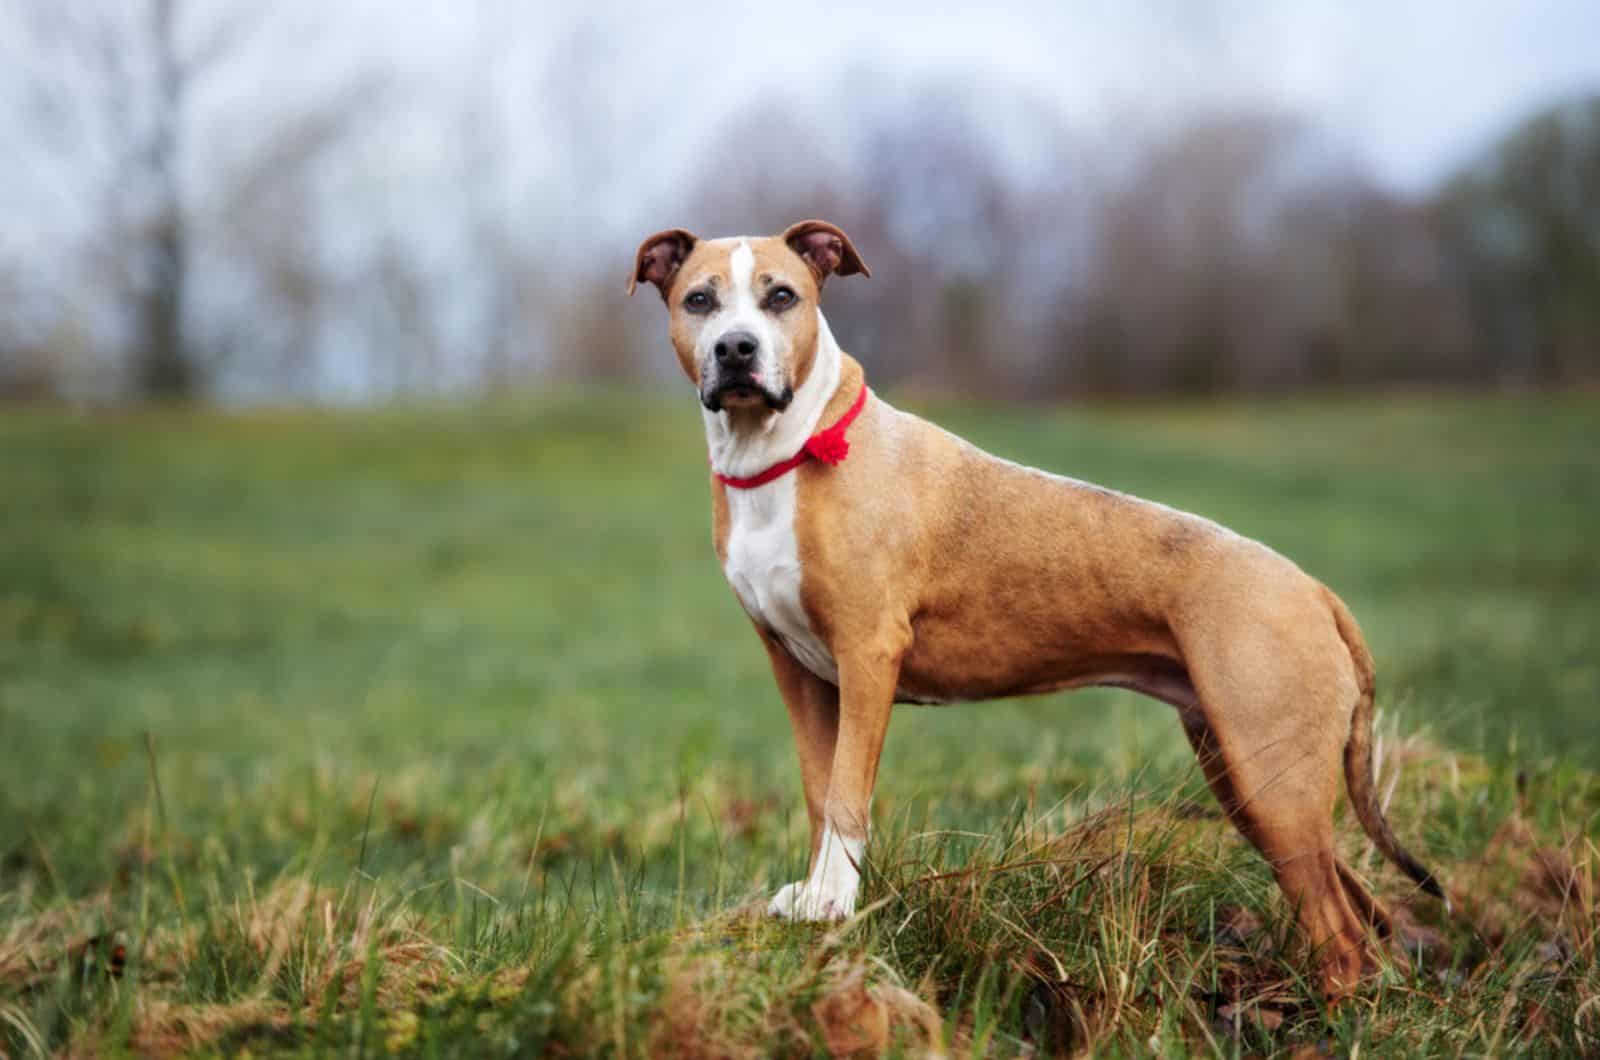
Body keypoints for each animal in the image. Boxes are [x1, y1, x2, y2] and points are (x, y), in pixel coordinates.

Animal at [627, 217, 1452, 999]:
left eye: (781, 297)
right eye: (699, 300)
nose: (737, 349)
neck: (791, 452)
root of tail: (1312, 589)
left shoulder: (867, 658)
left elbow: (846, 797)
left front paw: (834, 905)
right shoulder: (800, 673)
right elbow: (816, 792)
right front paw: (813, 898)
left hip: (1270, 777)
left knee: (1341, 933)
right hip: (1250, 779)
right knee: (1355, 907)